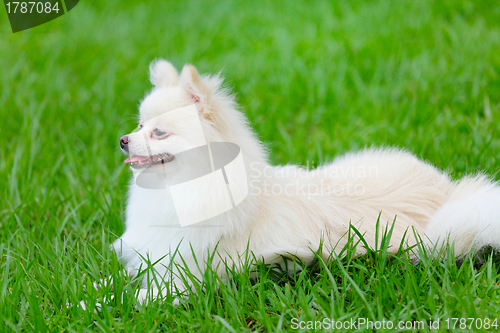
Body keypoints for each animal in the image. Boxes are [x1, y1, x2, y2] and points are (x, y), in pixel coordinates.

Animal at [112, 59, 500, 300]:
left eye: (160, 132)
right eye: (140, 124)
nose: (124, 139)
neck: (184, 187)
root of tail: (449, 193)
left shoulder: (182, 280)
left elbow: (129, 298)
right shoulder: (149, 257)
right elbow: (114, 280)